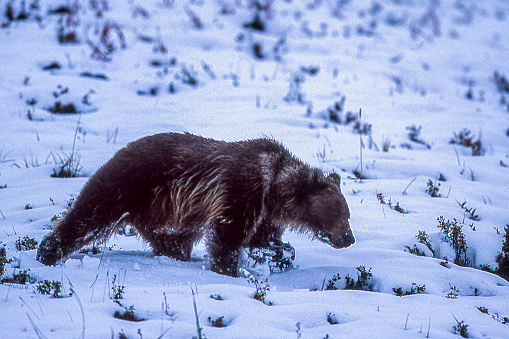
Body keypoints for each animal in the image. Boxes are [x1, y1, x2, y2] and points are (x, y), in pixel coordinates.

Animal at [36, 133, 354, 276]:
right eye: (340, 212)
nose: (349, 239)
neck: (273, 187)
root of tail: (119, 151)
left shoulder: (265, 212)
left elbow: (262, 239)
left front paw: (280, 254)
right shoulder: (239, 190)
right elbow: (227, 234)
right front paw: (230, 269)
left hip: (164, 214)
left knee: (172, 239)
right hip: (128, 184)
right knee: (89, 215)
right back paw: (48, 252)